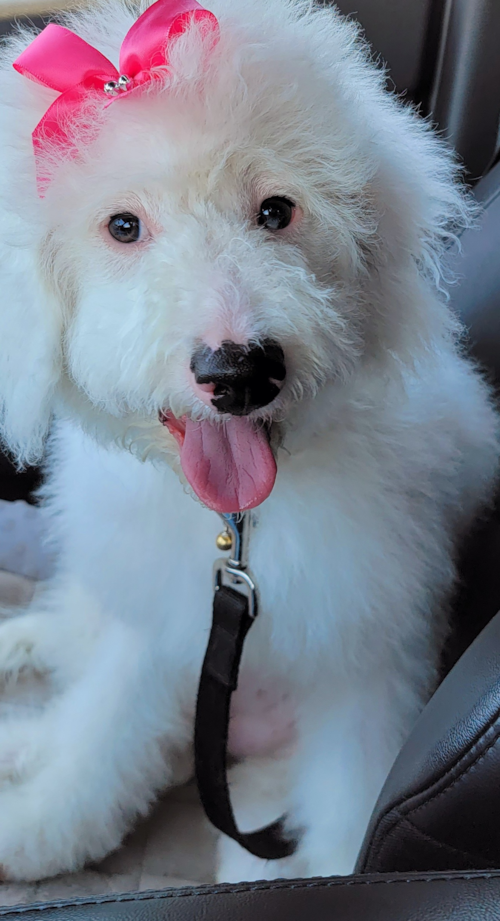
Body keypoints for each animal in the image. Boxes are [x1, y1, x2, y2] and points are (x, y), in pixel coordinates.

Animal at [0, 0, 496, 884]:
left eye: (276, 210)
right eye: (122, 225)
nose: (238, 370)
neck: (236, 530)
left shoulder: (364, 658)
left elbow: (349, 797)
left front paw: (333, 864)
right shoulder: (158, 629)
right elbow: (101, 736)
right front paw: (43, 820)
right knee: (80, 657)